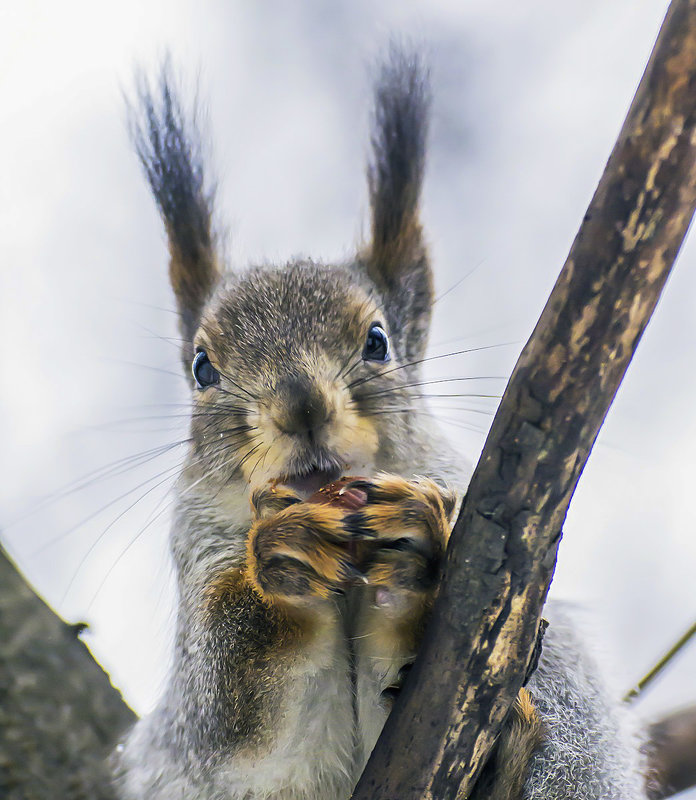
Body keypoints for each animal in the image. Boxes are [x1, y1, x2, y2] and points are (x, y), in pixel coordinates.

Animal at [113, 48, 648, 800]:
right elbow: (224, 709)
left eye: (377, 340)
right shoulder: (196, 559)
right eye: (201, 367)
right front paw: (280, 554)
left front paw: (417, 550)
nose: (302, 406)